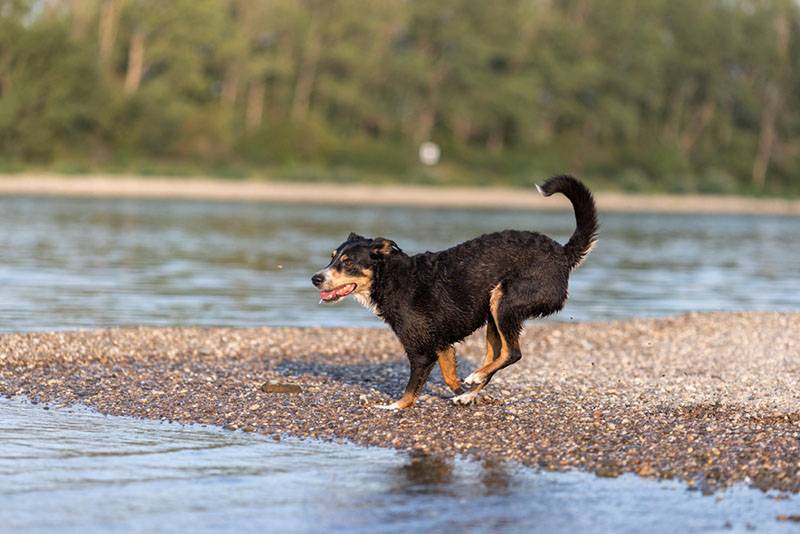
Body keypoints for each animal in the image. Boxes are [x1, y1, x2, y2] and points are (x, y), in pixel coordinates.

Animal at [310, 176, 596, 410]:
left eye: (347, 262)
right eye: (332, 257)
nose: (315, 279)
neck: (391, 278)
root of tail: (563, 254)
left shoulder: (421, 350)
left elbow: (411, 389)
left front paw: (395, 407)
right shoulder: (441, 344)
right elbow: (449, 375)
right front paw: (463, 392)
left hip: (504, 301)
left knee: (513, 353)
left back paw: (476, 377)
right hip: (493, 316)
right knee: (497, 354)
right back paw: (471, 391)